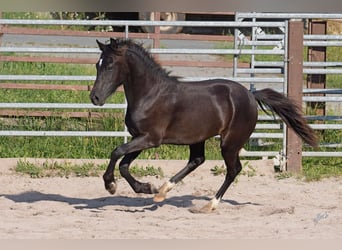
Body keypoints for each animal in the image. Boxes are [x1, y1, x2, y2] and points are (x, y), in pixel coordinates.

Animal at [90, 37, 318, 213]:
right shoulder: (140, 137)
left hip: (230, 143)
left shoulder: (151, 139)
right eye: (97, 65)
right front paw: (147, 188)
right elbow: (124, 164)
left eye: (110, 65)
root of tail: (251, 95)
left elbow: (117, 152)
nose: (95, 98)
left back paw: (210, 205)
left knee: (233, 169)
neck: (150, 94)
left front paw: (110, 185)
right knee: (197, 160)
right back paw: (162, 191)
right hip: (198, 138)